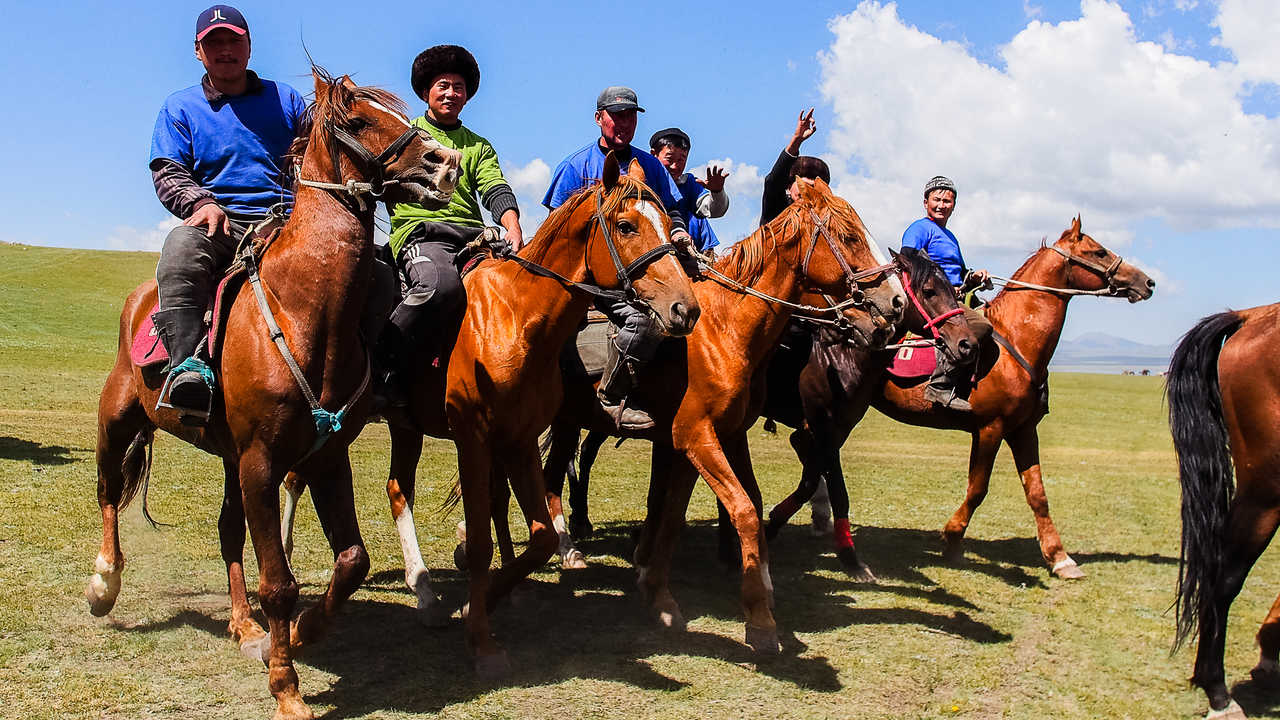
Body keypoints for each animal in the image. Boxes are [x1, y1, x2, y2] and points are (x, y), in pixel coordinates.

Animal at [85, 68, 458, 717]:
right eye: (357, 120)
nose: (444, 163)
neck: (305, 311)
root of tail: (139, 301)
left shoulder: (323, 458)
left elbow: (351, 561)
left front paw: (301, 633)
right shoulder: (262, 462)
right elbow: (279, 582)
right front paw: (287, 688)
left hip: (230, 460)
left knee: (227, 532)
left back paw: (243, 627)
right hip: (121, 421)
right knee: (109, 492)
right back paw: (105, 584)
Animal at [542, 178, 911, 650]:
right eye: (848, 237)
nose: (896, 303)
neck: (724, 330)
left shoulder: (721, 436)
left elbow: (689, 510)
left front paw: (661, 587)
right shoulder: (696, 437)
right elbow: (743, 510)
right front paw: (759, 618)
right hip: (564, 421)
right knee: (552, 475)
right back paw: (567, 547)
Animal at [860, 217, 1152, 576]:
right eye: (1098, 251)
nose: (1147, 282)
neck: (1017, 339)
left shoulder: (1023, 430)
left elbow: (1037, 493)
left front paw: (1060, 558)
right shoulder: (990, 428)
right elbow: (977, 489)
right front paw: (951, 540)